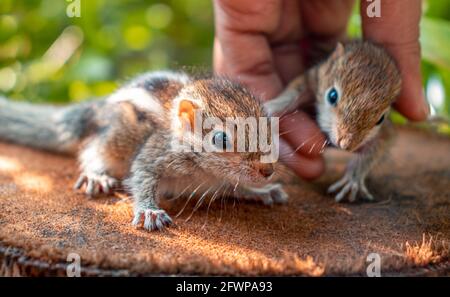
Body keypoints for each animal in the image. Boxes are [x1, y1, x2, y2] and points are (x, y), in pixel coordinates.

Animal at [0, 70, 286, 230]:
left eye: (269, 126)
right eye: (221, 139)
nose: (267, 171)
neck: (207, 171)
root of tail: (97, 110)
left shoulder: (220, 181)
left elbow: (235, 188)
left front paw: (261, 192)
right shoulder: (156, 154)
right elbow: (141, 176)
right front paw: (149, 210)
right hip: (113, 138)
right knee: (93, 153)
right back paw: (96, 175)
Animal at [264, 40, 400, 201]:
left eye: (381, 119)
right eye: (332, 95)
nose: (346, 145)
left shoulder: (386, 133)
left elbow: (373, 152)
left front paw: (353, 180)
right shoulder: (314, 77)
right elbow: (293, 92)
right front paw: (271, 108)